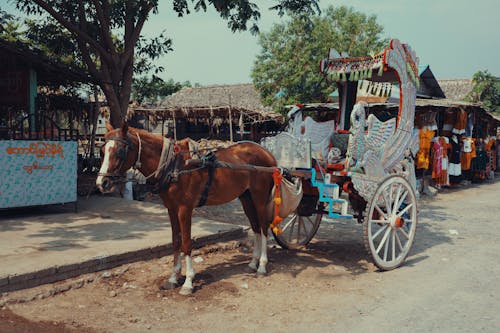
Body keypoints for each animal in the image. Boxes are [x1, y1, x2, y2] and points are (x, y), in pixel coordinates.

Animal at [96, 123, 278, 294]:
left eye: (120, 151)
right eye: (102, 151)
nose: (101, 183)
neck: (175, 166)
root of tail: (267, 153)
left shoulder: (185, 209)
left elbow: (186, 242)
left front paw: (188, 282)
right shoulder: (171, 208)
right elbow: (176, 241)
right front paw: (173, 278)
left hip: (260, 198)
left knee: (263, 227)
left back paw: (262, 265)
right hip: (246, 198)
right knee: (255, 227)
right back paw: (253, 263)